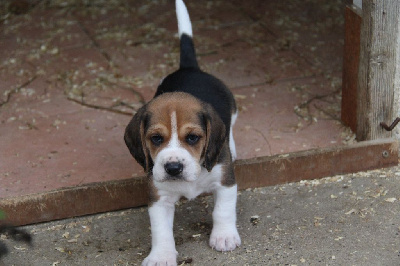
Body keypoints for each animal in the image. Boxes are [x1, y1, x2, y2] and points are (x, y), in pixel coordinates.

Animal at [123, 1, 239, 264]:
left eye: (193, 138)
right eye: (156, 138)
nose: (173, 168)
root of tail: (189, 68)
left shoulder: (225, 181)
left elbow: (223, 210)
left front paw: (224, 236)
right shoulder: (158, 196)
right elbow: (161, 230)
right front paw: (161, 255)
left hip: (234, 110)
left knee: (231, 129)